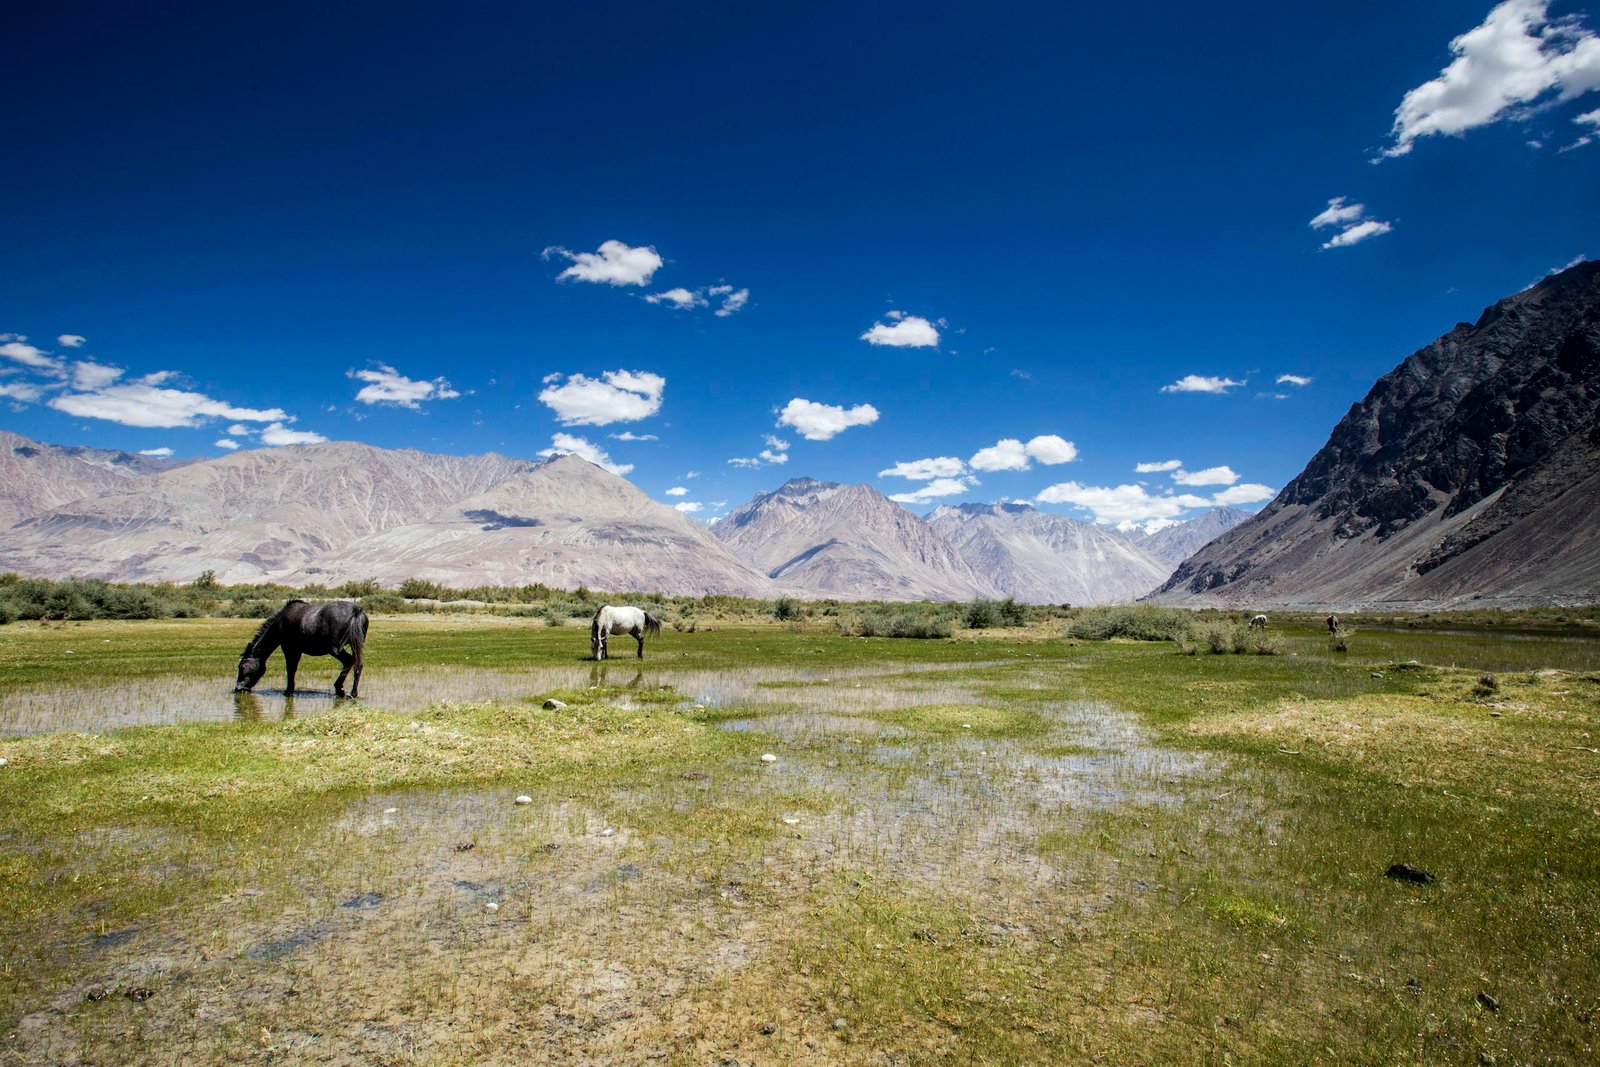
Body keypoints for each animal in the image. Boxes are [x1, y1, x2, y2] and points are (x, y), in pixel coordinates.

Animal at [235, 599, 368, 698]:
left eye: (242, 666)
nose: (238, 688)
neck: (280, 623)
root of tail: (356, 610)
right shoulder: (297, 651)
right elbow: (293, 669)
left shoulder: (290, 649)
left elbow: (291, 669)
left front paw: (288, 691)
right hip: (355, 645)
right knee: (358, 665)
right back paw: (353, 693)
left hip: (335, 649)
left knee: (349, 661)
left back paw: (339, 689)